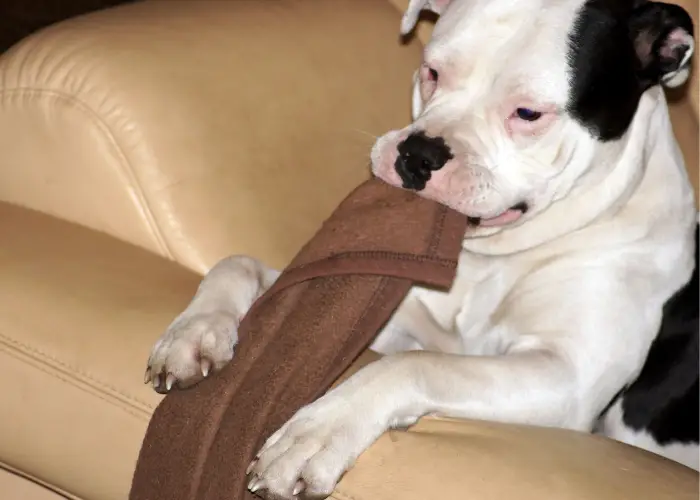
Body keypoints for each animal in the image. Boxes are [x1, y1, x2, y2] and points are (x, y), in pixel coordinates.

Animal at [145, 0, 696, 496]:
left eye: (528, 113)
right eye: (432, 72)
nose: (418, 154)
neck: (495, 259)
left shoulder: (567, 377)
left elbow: (418, 364)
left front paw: (317, 433)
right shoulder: (397, 323)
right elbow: (240, 265)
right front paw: (194, 333)